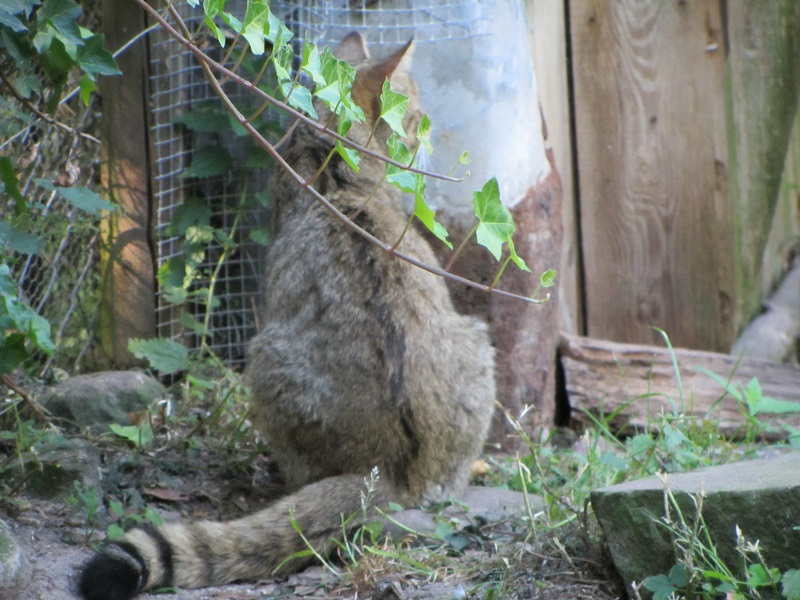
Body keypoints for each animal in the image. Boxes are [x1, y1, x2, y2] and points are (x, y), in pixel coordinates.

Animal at [78, 32, 496, 600]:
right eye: (415, 113)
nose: (425, 136)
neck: (326, 160)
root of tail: (389, 476)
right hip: (474, 339)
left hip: (265, 358)